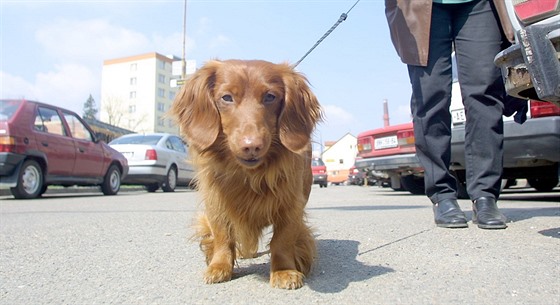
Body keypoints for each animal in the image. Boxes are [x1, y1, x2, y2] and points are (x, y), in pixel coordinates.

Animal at [173, 58, 326, 288]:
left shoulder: (291, 205)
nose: (251, 146)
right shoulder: (216, 202)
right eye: (226, 97)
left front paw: (284, 271)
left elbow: (282, 240)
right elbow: (222, 236)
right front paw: (219, 266)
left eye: (270, 96)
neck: (248, 174)